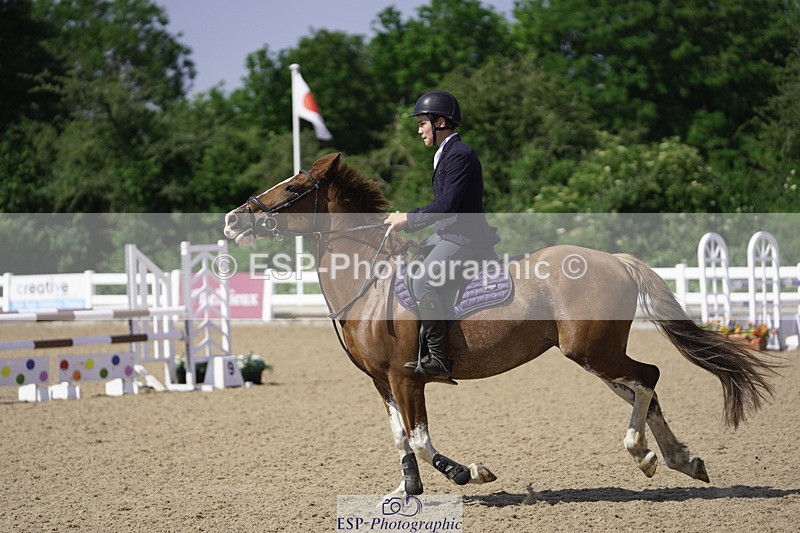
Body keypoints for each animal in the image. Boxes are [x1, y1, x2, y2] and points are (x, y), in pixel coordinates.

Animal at [223, 152, 777, 498]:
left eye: (294, 187)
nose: (232, 219)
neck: (370, 278)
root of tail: (615, 259)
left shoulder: (406, 377)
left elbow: (420, 440)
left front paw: (469, 472)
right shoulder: (381, 382)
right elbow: (401, 439)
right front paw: (407, 491)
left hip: (593, 351)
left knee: (649, 378)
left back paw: (642, 453)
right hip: (594, 357)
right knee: (644, 387)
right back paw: (682, 459)